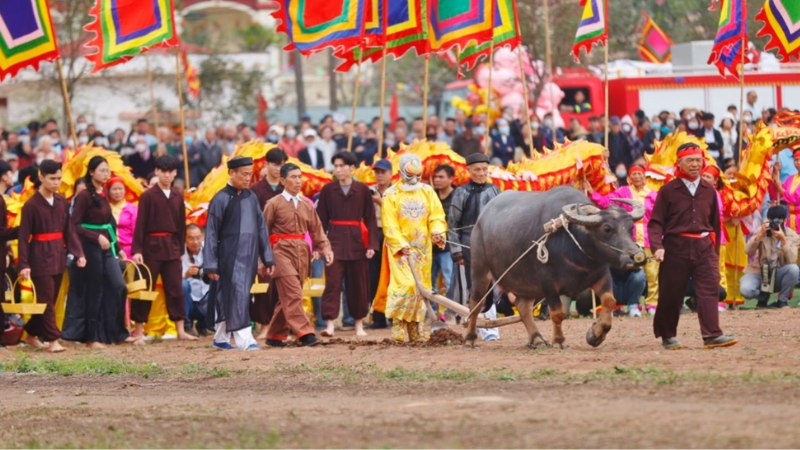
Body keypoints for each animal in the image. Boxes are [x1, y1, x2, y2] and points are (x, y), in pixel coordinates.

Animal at [466, 185, 648, 350]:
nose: (636, 256)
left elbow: (610, 301)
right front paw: (559, 340)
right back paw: (469, 338)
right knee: (475, 303)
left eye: (631, 227)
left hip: (524, 282)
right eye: (607, 228)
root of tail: (481, 219)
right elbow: (558, 314)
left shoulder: (602, 275)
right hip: (480, 270)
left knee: (522, 306)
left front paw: (595, 335)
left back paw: (537, 338)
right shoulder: (548, 284)